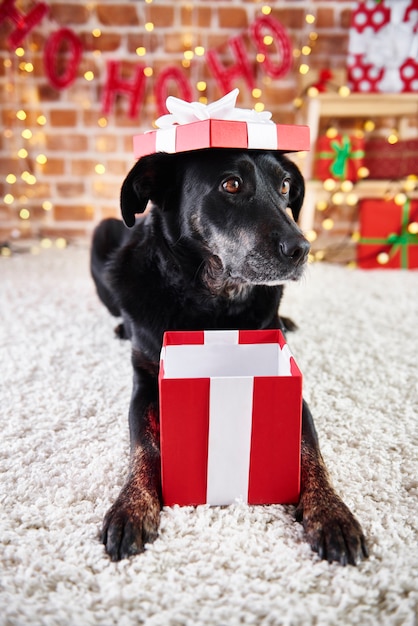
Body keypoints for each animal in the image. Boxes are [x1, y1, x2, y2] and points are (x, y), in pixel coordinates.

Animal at [90, 149, 368, 564]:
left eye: (285, 185)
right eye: (231, 184)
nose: (303, 250)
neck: (213, 303)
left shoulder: (290, 382)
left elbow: (310, 450)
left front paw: (331, 511)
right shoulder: (147, 382)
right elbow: (145, 444)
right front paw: (132, 505)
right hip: (103, 232)